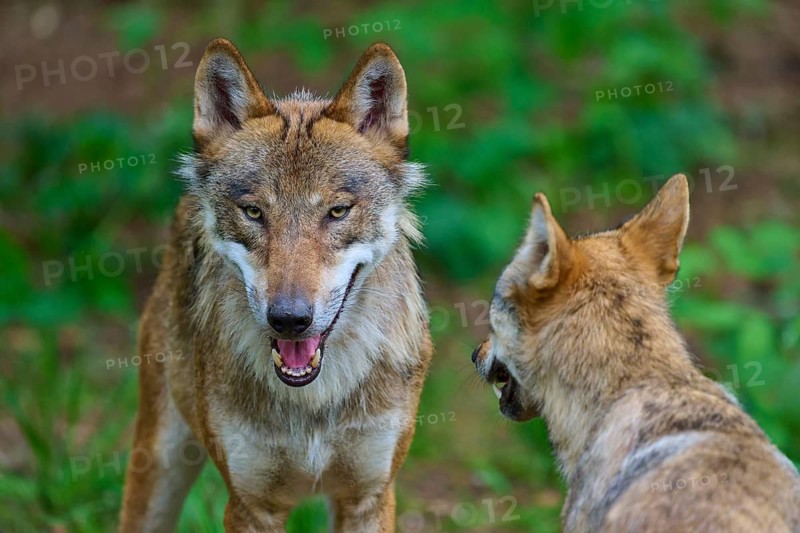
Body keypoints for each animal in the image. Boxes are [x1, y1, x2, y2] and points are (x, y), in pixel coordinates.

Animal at [119, 39, 432, 532]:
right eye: (253, 212)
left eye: (337, 212)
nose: (289, 319)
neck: (312, 403)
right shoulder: (250, 505)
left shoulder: (369, 497)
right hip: (157, 468)